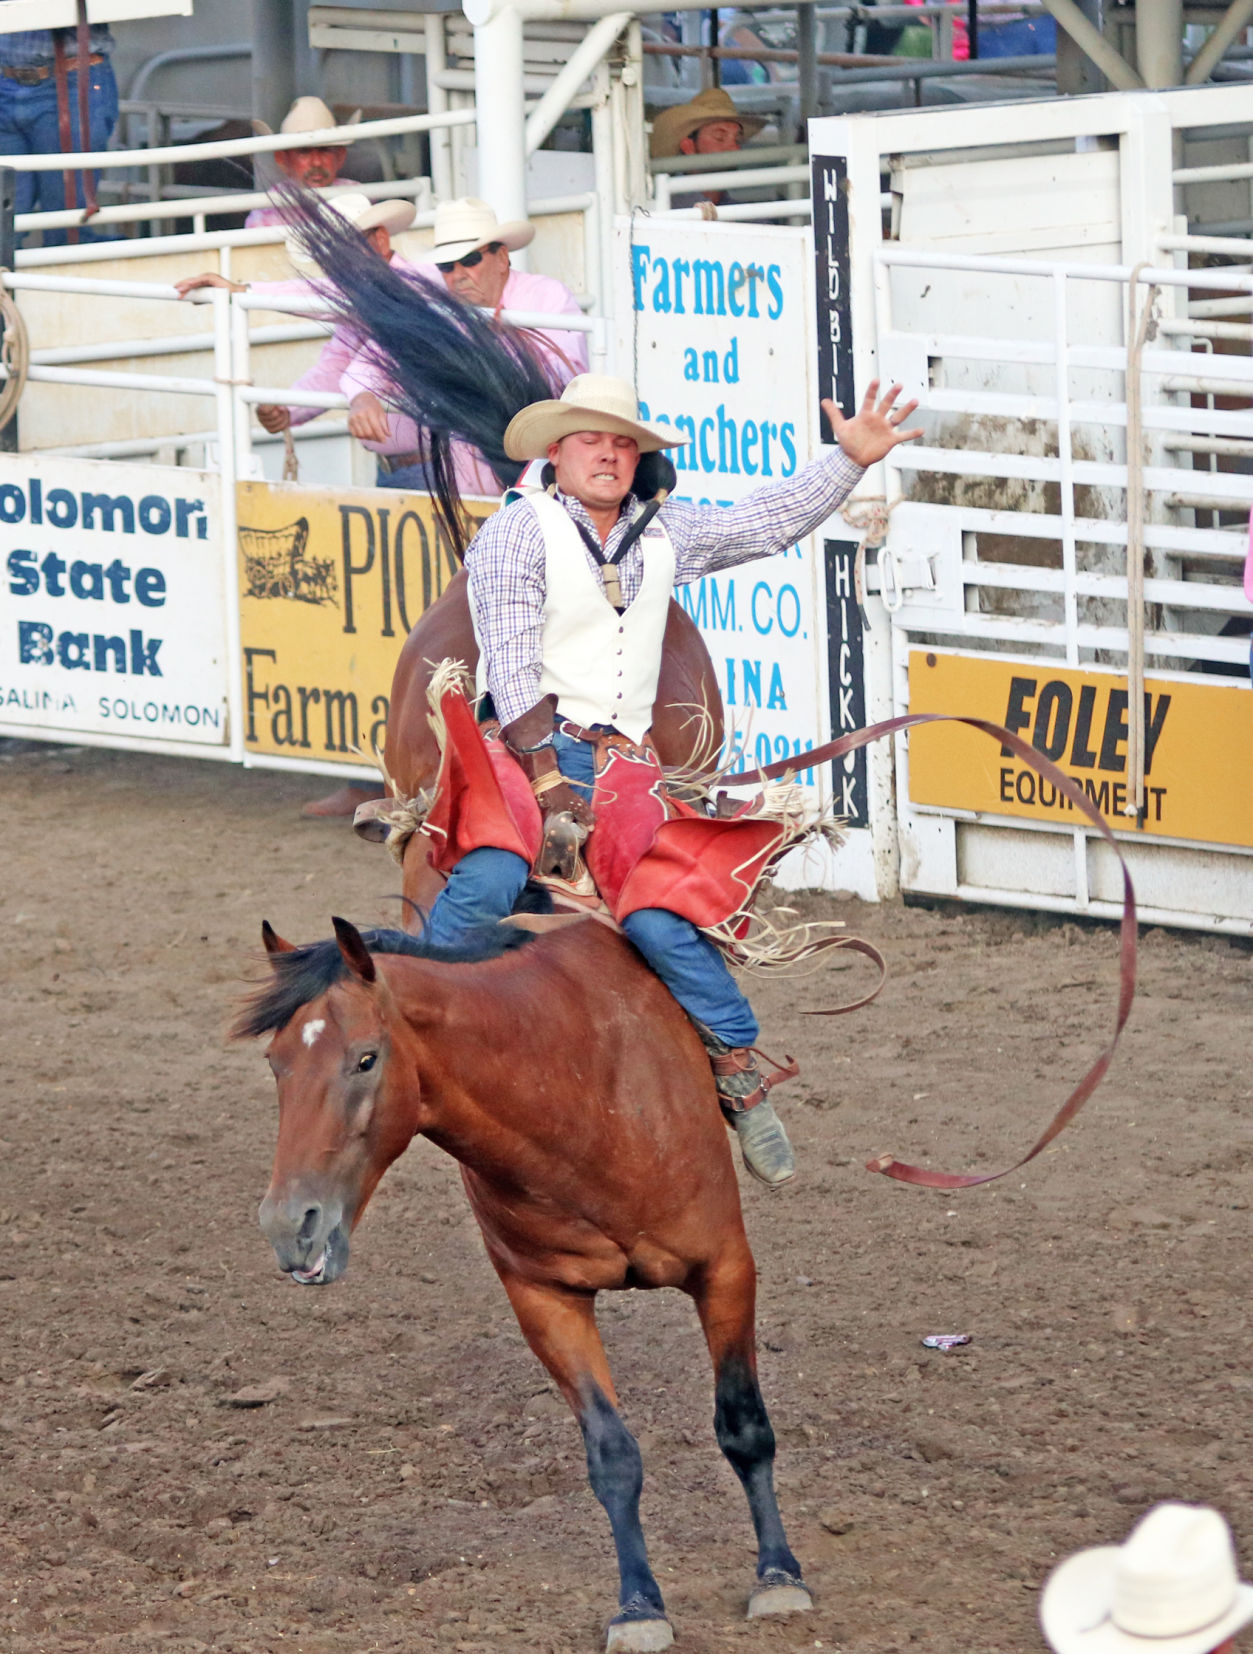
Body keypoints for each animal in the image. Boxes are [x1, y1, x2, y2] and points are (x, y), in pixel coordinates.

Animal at [241, 913, 819, 1647]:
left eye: (366, 1058)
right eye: (276, 1063)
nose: (289, 1225)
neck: (578, 1097)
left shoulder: (725, 1268)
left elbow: (743, 1425)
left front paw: (778, 1576)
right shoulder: (544, 1300)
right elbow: (612, 1457)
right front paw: (639, 1607)